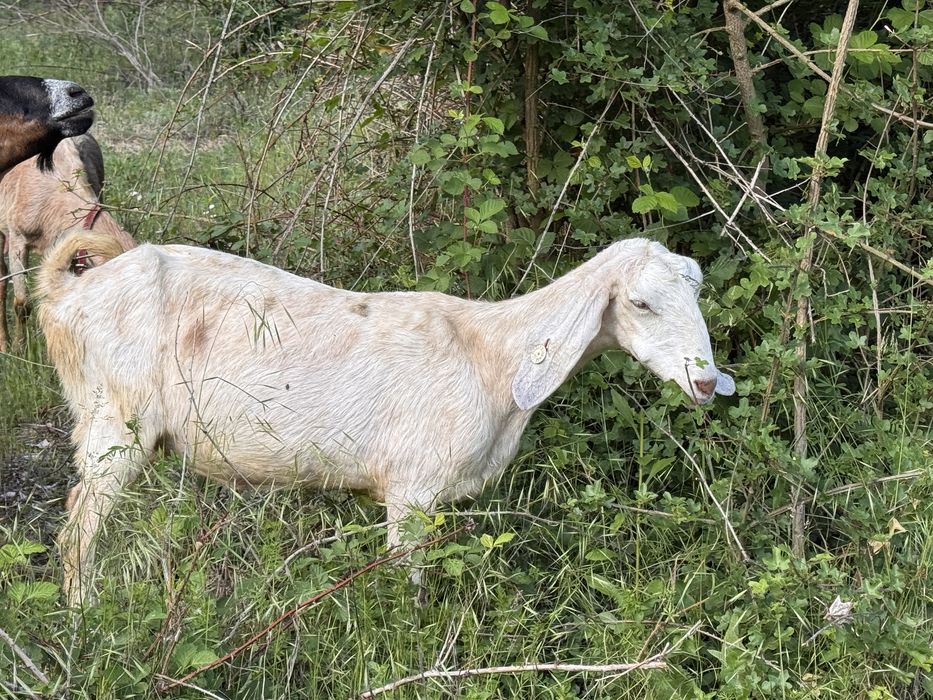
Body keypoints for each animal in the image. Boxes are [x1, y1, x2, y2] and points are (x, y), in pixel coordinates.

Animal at [38, 233, 735, 605]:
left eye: (697, 293)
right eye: (640, 303)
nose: (704, 381)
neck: (494, 354)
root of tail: (66, 295)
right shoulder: (411, 489)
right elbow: (411, 585)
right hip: (114, 424)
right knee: (77, 529)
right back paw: (85, 615)